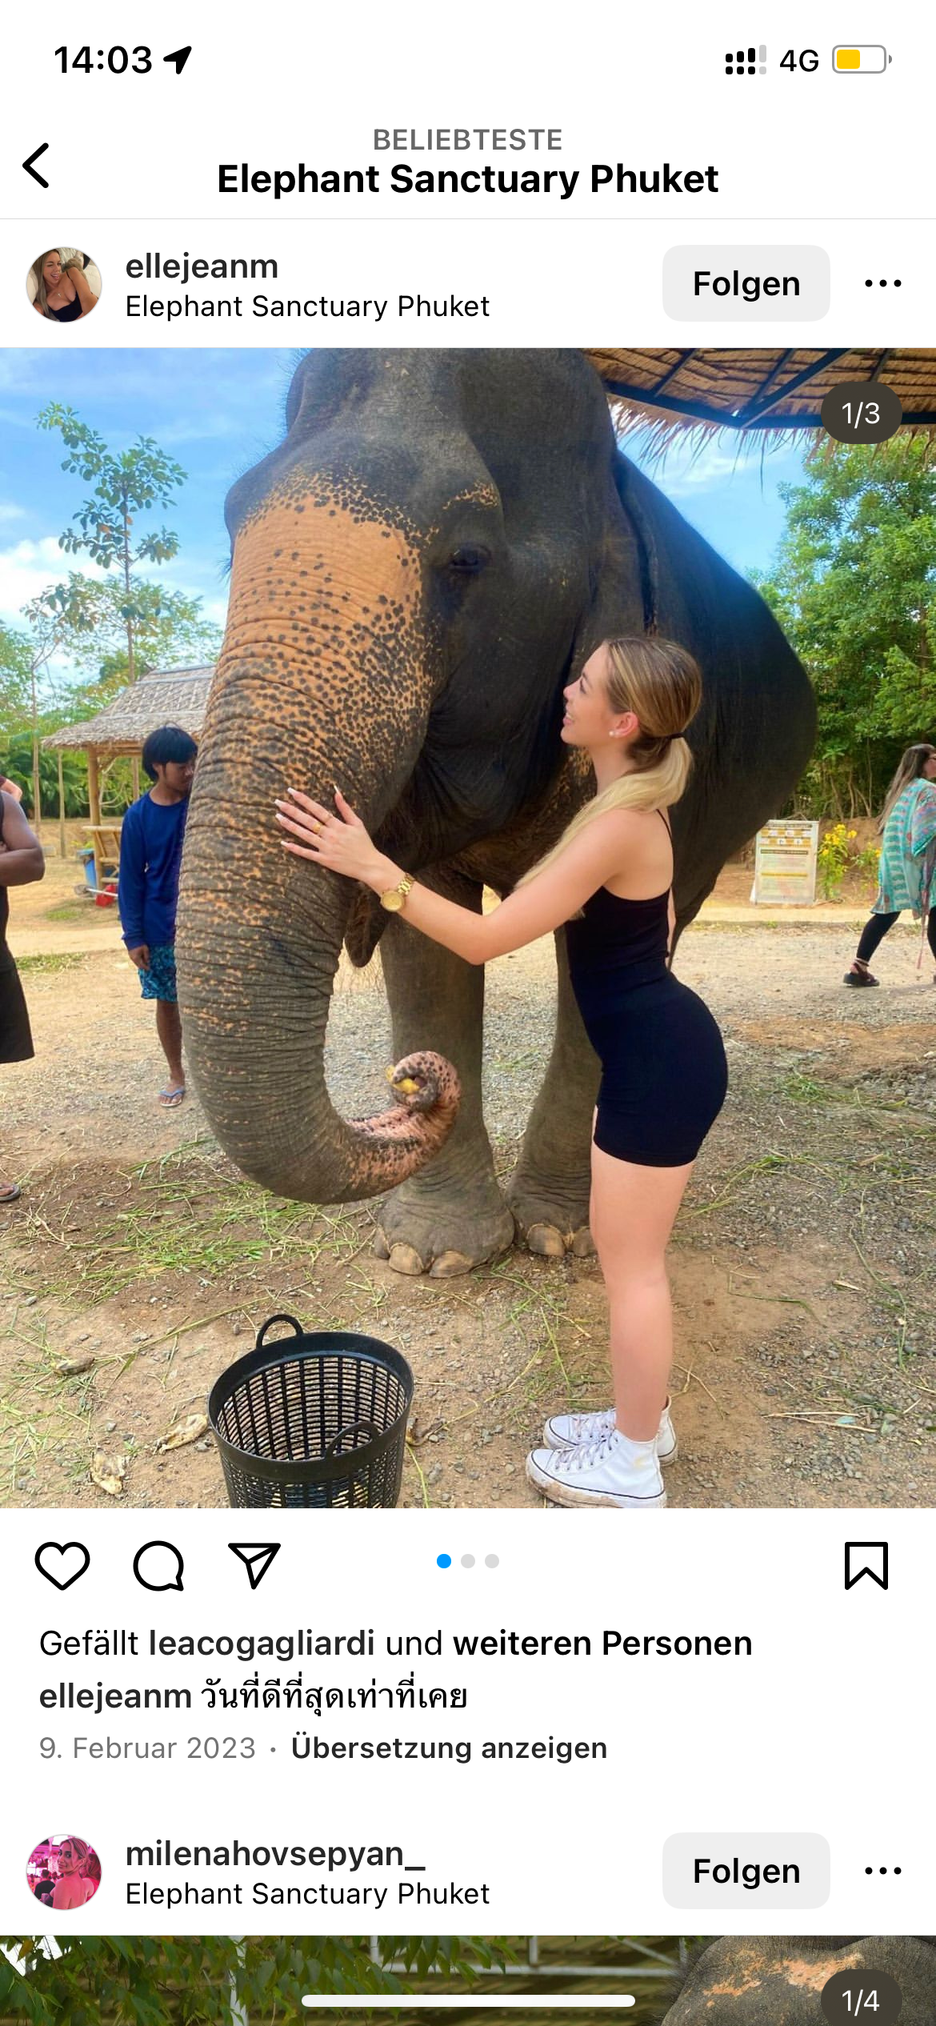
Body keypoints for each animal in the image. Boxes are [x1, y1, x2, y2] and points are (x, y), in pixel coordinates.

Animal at [178, 348, 815, 1275]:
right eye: (229, 531)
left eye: (468, 558)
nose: (411, 1083)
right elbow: (429, 950)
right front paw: (434, 1257)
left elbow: (596, 969)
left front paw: (560, 1237)